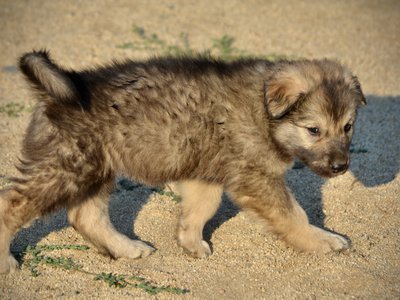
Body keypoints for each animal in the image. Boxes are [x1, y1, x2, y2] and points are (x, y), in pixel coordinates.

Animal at [0, 49, 366, 274]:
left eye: (348, 127)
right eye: (314, 130)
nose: (341, 167)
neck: (264, 110)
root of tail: (57, 90)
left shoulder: (206, 174)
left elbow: (202, 208)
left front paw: (189, 241)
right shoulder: (257, 176)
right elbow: (293, 216)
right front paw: (323, 240)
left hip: (95, 168)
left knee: (86, 215)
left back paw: (127, 249)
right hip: (66, 168)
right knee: (11, 205)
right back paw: (5, 261)